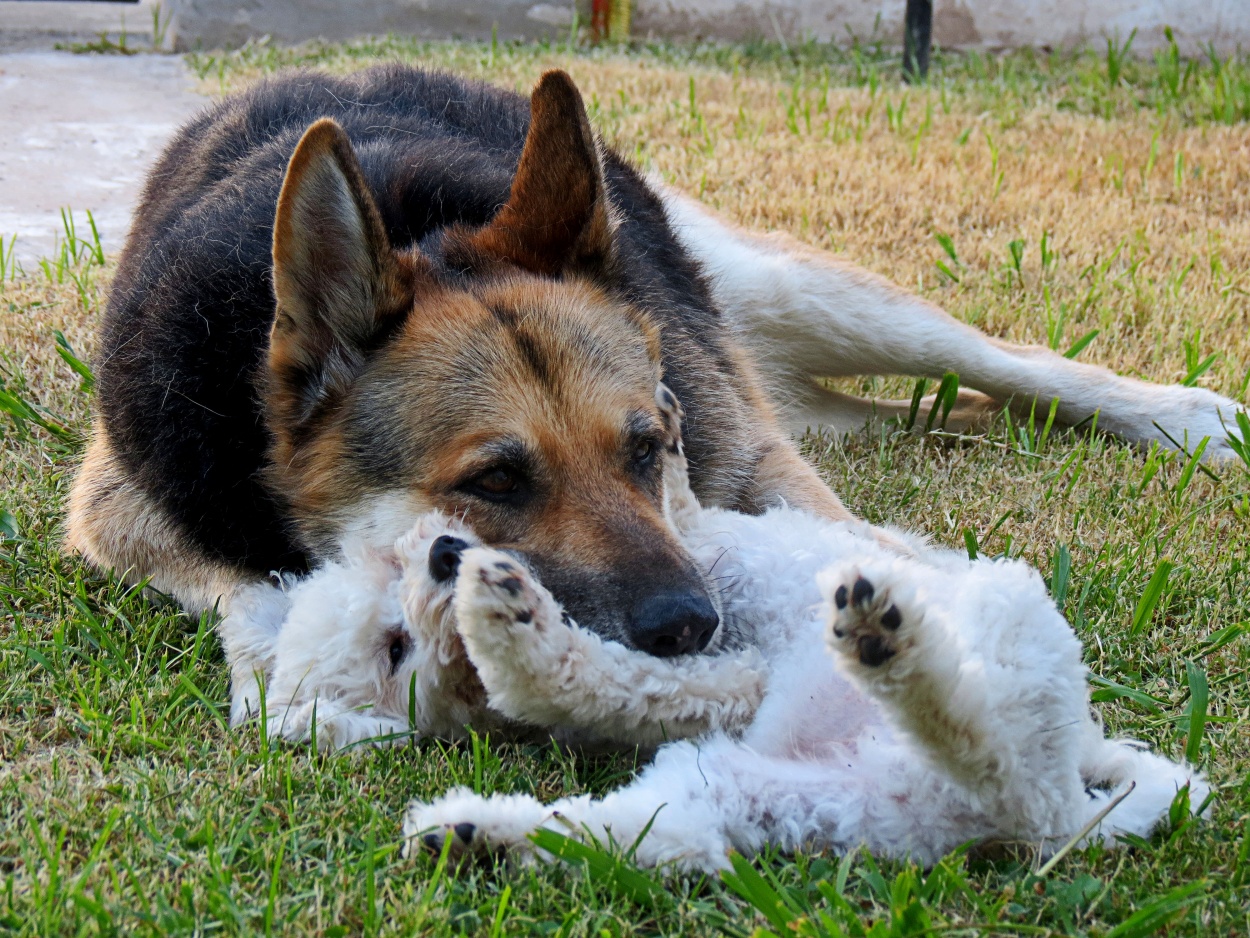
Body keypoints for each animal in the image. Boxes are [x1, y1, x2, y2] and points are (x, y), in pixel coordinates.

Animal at [65, 66, 1240, 700]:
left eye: (646, 445)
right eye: (494, 481)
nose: (688, 626)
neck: (415, 222)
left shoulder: (737, 450)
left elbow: (846, 530)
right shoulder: (122, 507)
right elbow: (243, 586)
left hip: (801, 300)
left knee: (1004, 367)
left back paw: (1186, 418)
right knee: (934, 418)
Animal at [220, 390, 1205, 875]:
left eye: (386, 563)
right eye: (394, 652)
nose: (444, 555)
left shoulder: (692, 576)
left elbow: (682, 504)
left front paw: (669, 429)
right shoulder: (721, 678)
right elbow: (620, 674)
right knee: (988, 748)